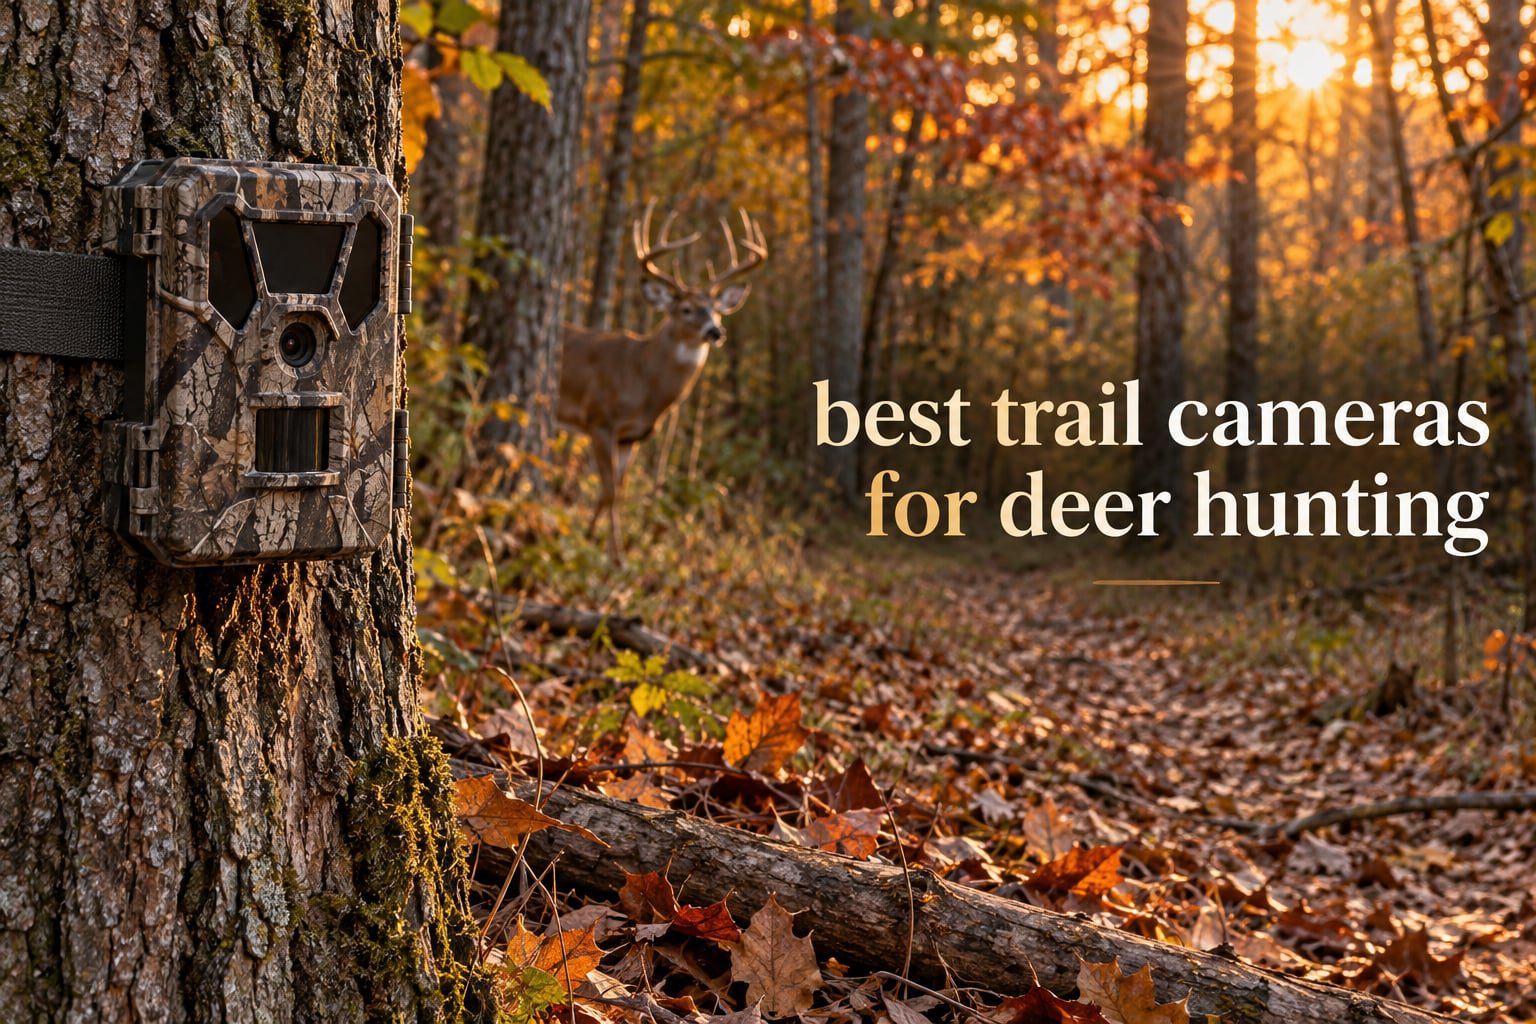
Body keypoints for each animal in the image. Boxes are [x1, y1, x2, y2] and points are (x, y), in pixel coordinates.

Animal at [558, 202, 768, 563]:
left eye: (717, 310)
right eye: (686, 309)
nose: (715, 331)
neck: (643, 380)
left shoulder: (632, 438)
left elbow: (616, 490)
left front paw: (606, 548)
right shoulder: (600, 421)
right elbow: (611, 491)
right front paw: (606, 552)